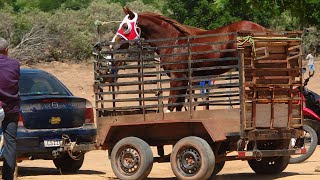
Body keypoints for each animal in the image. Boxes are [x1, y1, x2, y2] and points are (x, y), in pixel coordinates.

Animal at [112, 7, 268, 112]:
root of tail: (263, 30)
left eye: (125, 26)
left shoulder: (177, 78)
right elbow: (179, 107)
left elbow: (171, 106)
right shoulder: (184, 81)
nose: (114, 44)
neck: (173, 42)